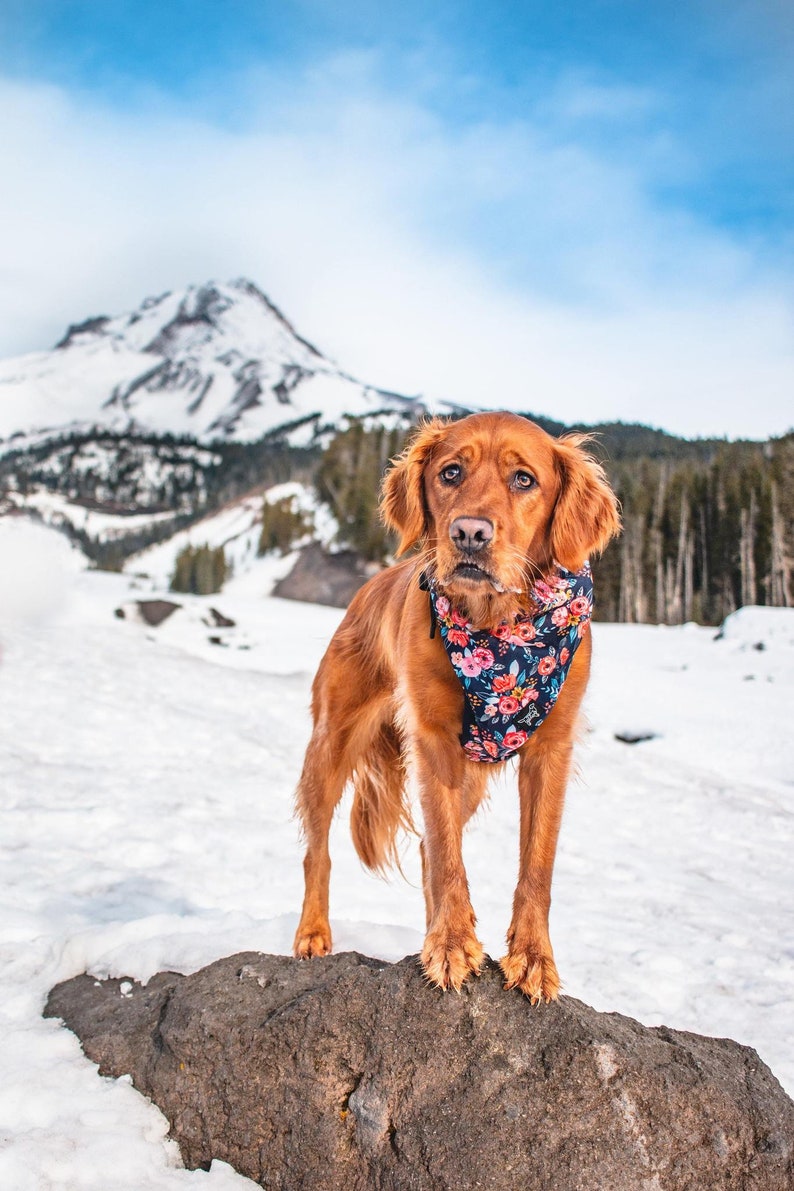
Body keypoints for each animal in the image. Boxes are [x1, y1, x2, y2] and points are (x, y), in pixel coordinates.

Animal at [291, 414, 619, 1000]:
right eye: (450, 473)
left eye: (523, 480)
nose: (469, 533)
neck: (498, 625)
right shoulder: (433, 740)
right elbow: (447, 856)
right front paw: (450, 945)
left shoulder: (550, 751)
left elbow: (535, 865)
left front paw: (533, 957)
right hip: (330, 744)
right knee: (319, 851)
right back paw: (313, 933)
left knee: (423, 850)